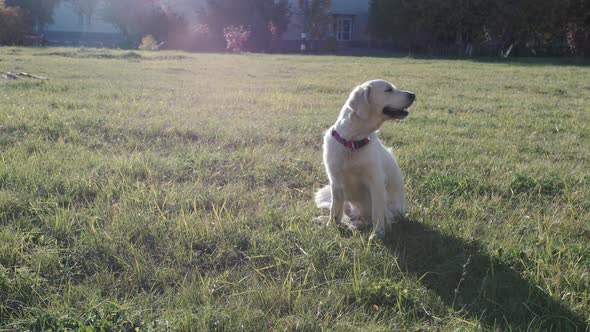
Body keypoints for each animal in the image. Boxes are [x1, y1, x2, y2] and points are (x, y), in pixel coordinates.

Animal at [316, 79, 418, 237]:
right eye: (388, 90)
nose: (413, 95)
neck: (352, 142)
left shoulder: (376, 181)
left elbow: (377, 212)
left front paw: (377, 234)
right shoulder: (336, 181)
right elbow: (335, 210)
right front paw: (331, 226)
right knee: (346, 215)